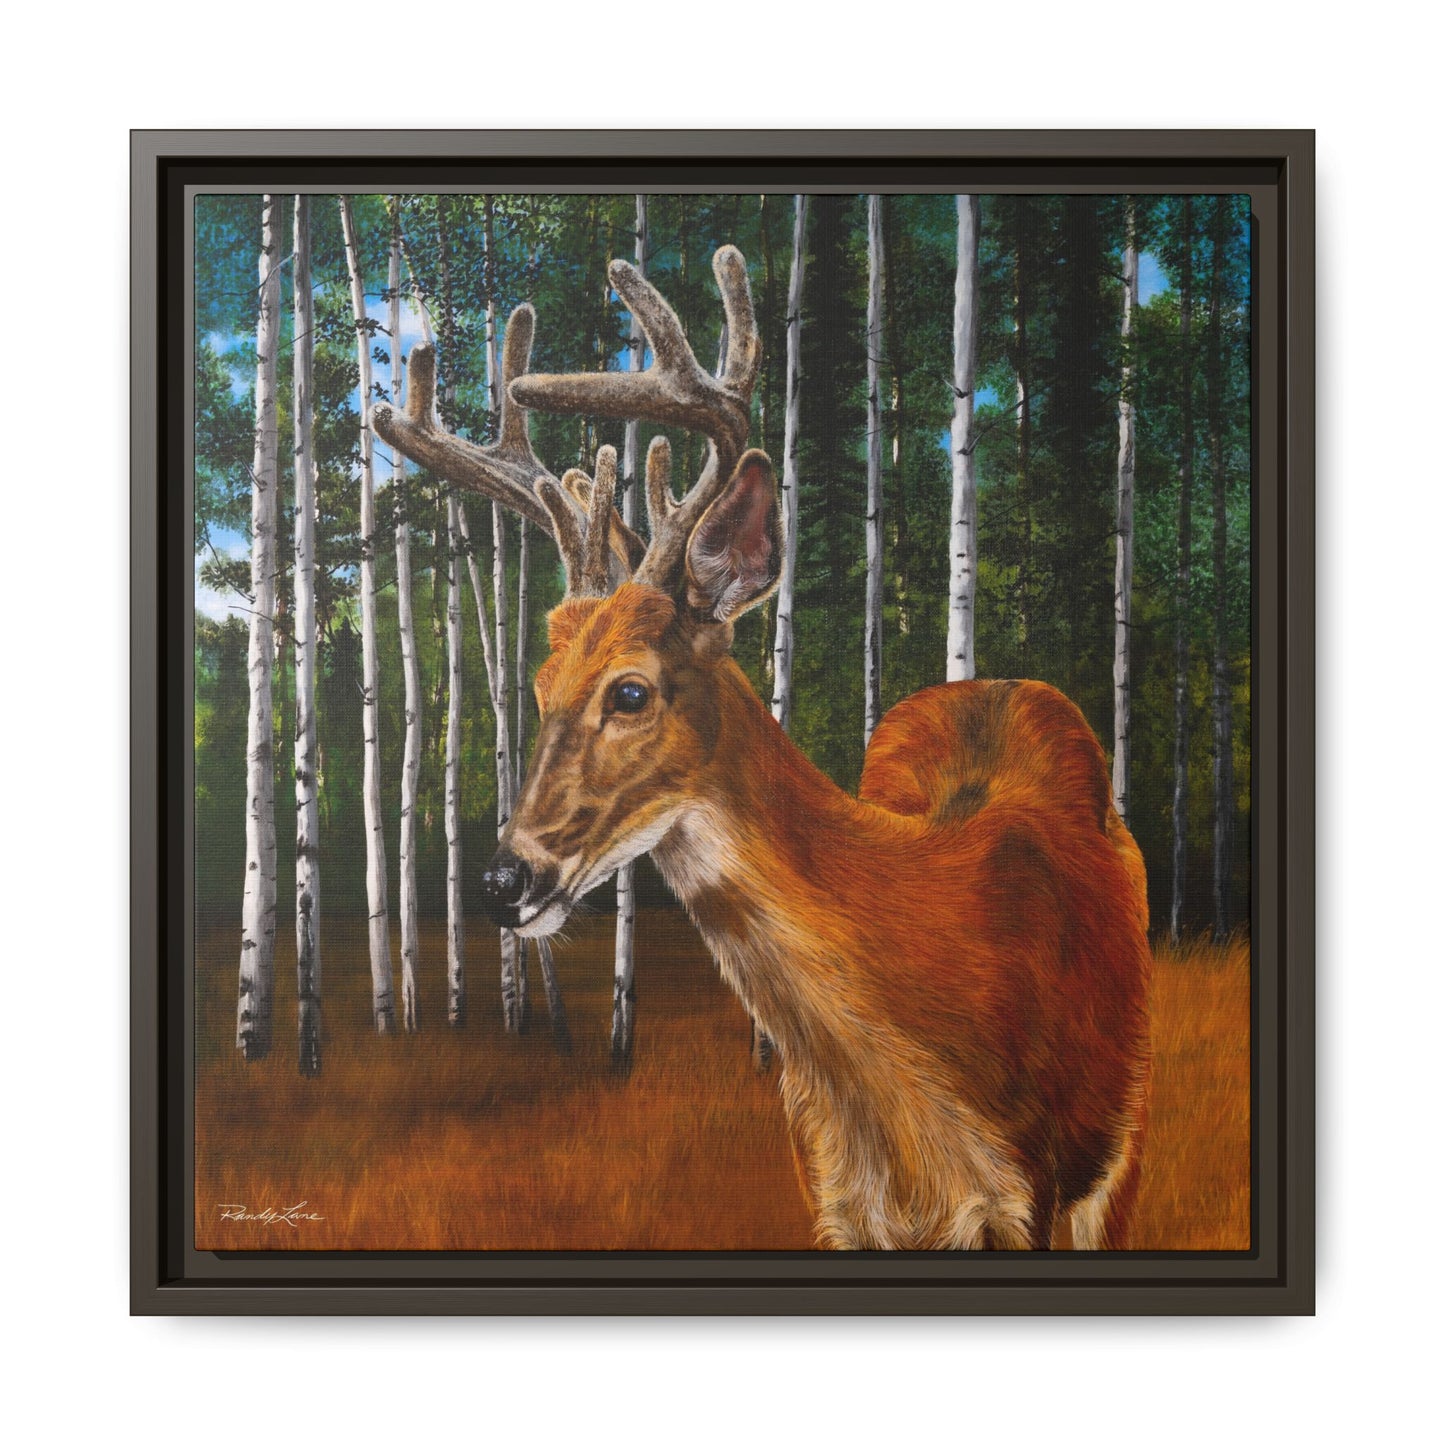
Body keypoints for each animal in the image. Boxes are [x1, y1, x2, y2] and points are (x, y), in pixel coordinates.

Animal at [373, 243, 1151, 1251]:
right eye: (539, 688)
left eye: (630, 690)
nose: (504, 880)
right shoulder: (828, 1193)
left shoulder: (1032, 1194)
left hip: (1119, 1149)